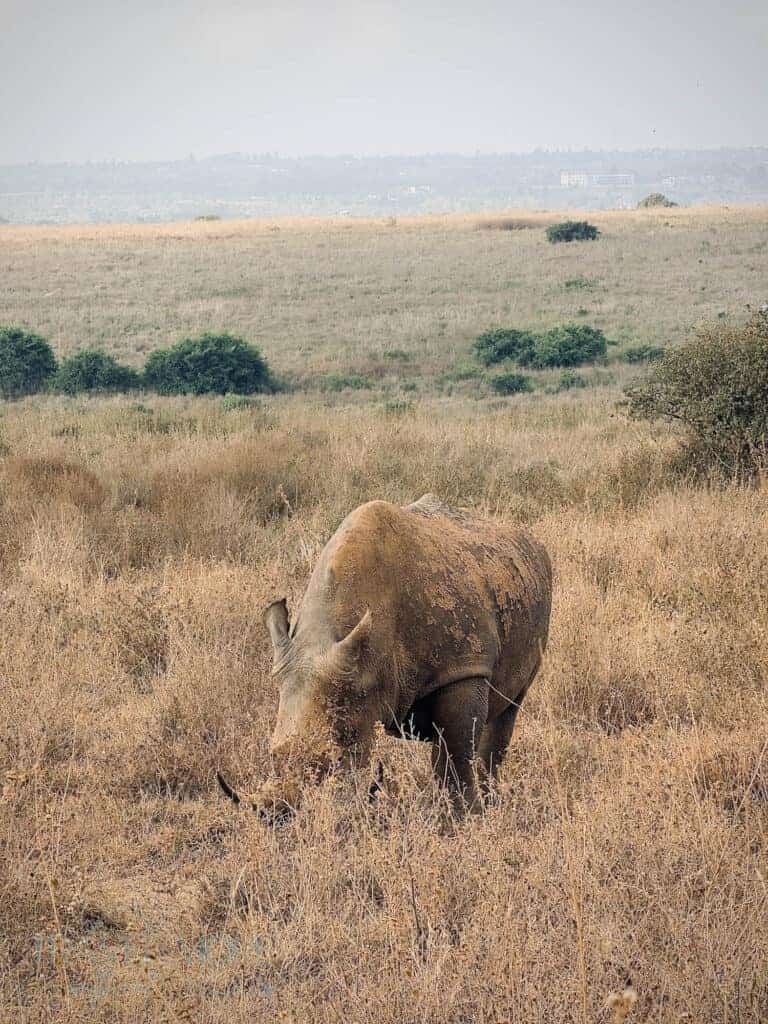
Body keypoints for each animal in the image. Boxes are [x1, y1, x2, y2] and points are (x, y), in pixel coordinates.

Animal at [221, 494, 552, 817]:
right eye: (272, 753)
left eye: (347, 737)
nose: (279, 817)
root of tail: (530, 540)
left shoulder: (464, 669)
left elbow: (455, 757)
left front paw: (465, 819)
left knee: (508, 708)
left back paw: (491, 801)